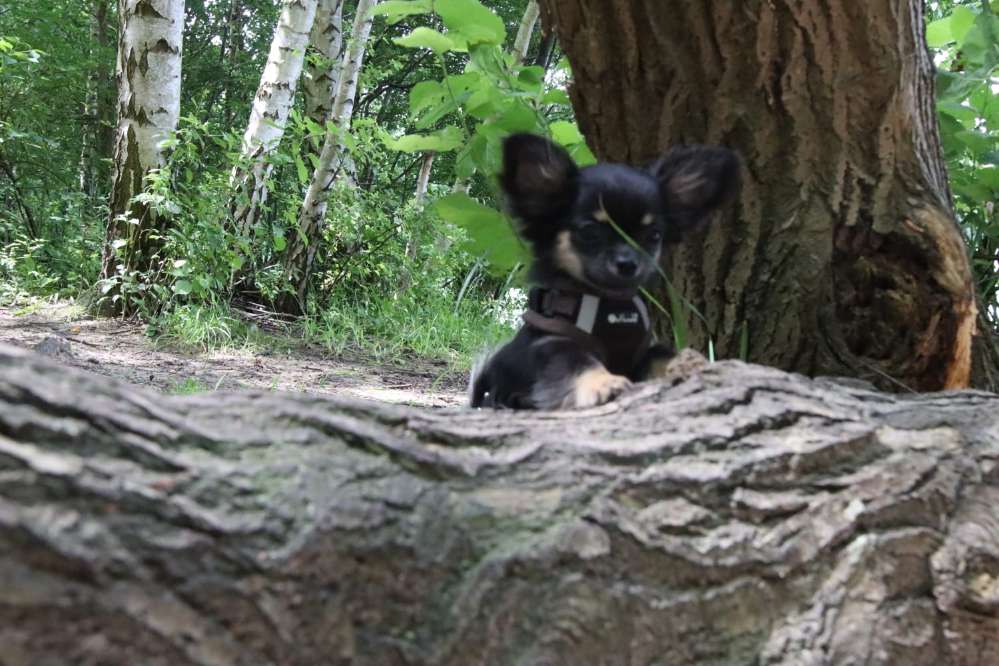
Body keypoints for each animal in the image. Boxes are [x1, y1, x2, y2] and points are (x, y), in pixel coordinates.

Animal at [470, 132, 744, 408]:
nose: (628, 263)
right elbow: (579, 363)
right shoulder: (554, 344)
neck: (611, 305)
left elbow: (663, 355)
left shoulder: (645, 351)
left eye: (654, 236)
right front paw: (603, 383)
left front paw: (692, 364)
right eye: (590, 232)